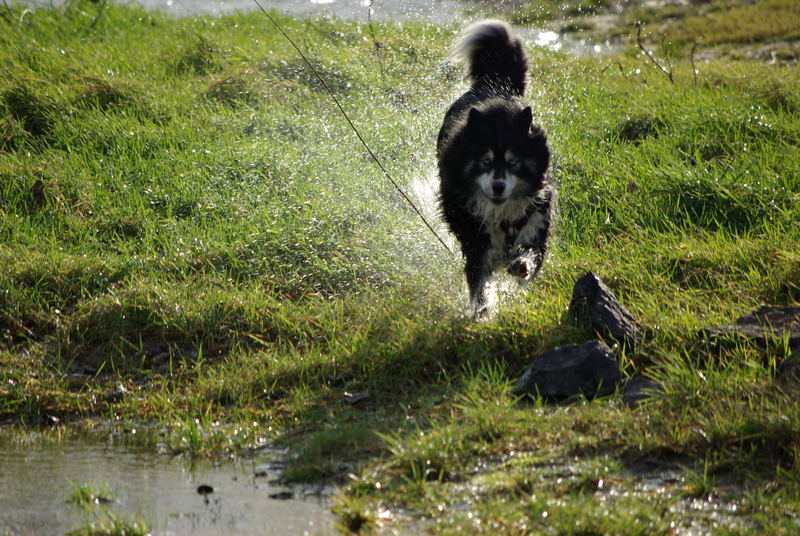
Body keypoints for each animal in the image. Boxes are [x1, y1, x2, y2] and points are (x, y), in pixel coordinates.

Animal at [438, 18, 556, 316]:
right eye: (486, 161)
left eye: (514, 162)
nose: (498, 186)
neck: (503, 216)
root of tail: (495, 85)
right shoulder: (477, 238)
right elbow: (478, 279)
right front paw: (480, 312)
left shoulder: (536, 221)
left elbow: (531, 254)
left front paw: (522, 266)